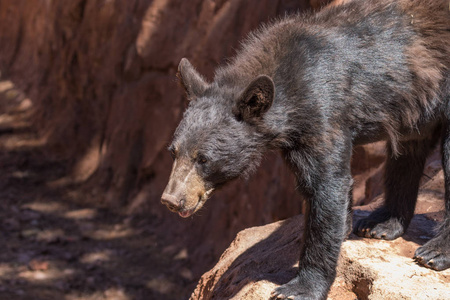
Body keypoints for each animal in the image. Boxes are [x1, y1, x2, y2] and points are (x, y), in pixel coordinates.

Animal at [162, 0, 450, 298]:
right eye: (173, 152)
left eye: (203, 159)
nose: (171, 200)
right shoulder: (298, 137)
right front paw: (345, 227)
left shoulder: (324, 111)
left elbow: (326, 186)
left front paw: (300, 287)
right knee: (408, 153)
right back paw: (381, 224)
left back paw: (434, 252)